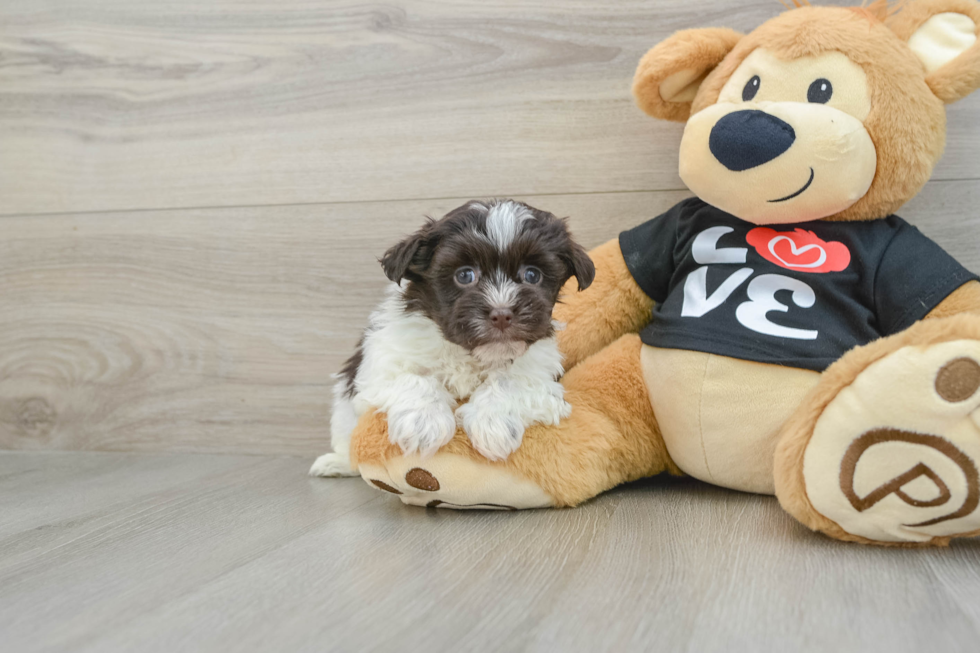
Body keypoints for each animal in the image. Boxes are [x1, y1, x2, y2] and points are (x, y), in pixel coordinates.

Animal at [310, 196, 592, 476]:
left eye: (532, 275)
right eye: (464, 275)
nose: (502, 314)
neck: (469, 353)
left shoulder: (540, 373)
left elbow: (509, 381)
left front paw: (494, 424)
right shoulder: (381, 363)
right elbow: (412, 378)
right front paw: (423, 422)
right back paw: (336, 463)